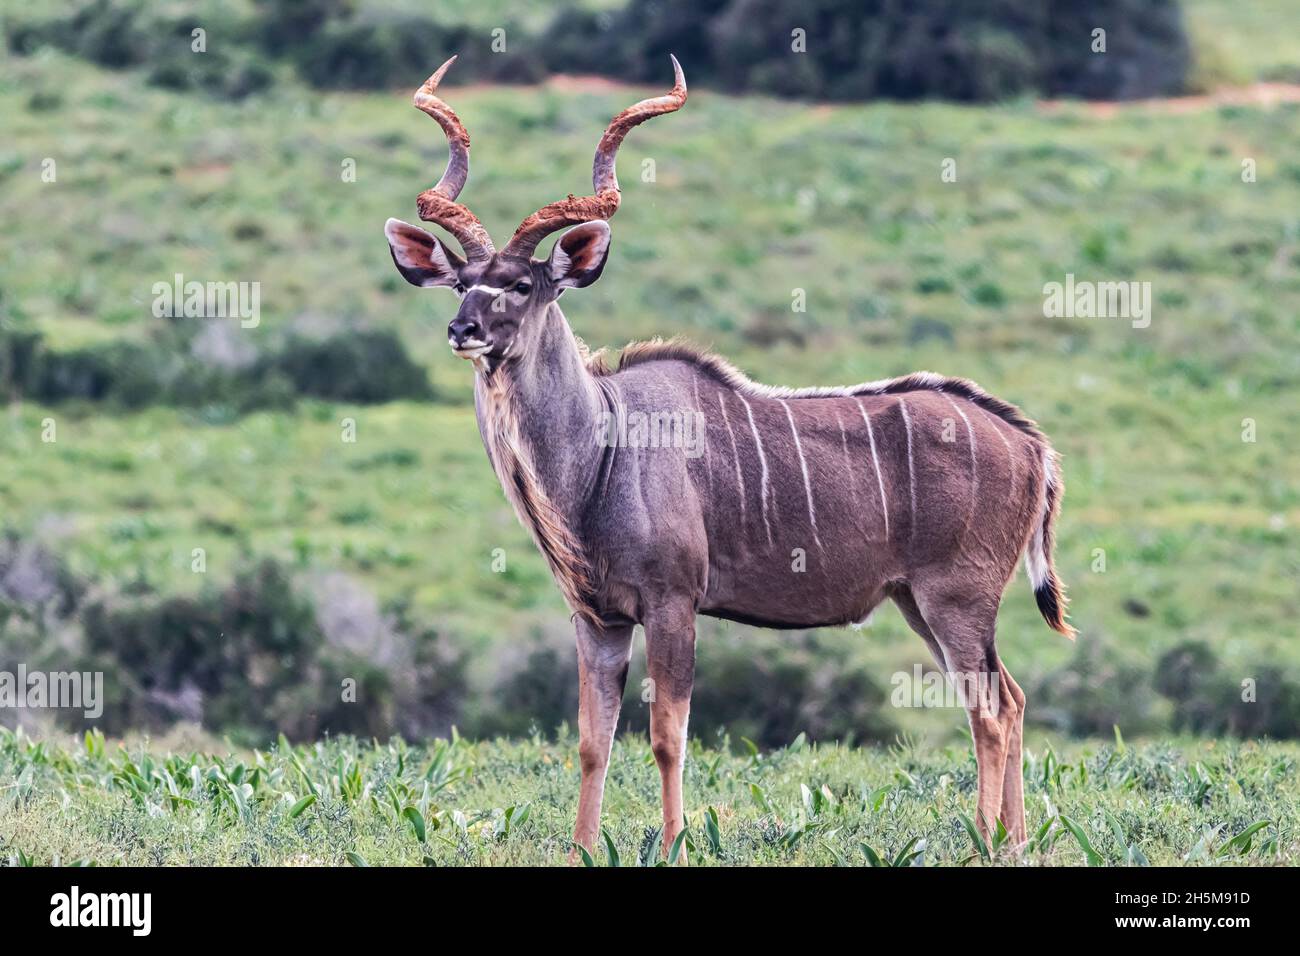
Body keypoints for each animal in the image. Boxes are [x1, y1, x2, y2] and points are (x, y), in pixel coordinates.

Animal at [379, 55, 1071, 863]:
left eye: (520, 286)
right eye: (461, 284)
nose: (463, 330)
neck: (602, 452)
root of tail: (1029, 444)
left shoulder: (674, 604)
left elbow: (666, 735)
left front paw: (675, 842)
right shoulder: (597, 617)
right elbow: (591, 741)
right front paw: (584, 847)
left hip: (955, 598)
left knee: (989, 709)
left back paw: (985, 843)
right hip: (919, 603)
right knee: (1009, 697)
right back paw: (1015, 841)